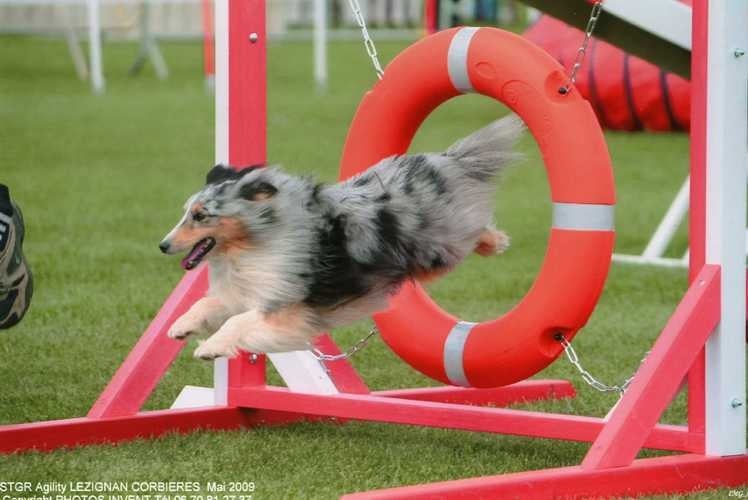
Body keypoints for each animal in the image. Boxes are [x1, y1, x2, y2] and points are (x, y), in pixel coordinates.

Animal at [159, 115, 523, 360]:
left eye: (200, 216)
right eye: (186, 213)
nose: (162, 245)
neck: (253, 243)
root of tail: (443, 161)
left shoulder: (287, 306)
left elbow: (239, 321)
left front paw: (210, 348)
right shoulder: (249, 289)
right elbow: (210, 303)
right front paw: (181, 326)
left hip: (438, 249)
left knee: (474, 228)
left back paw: (496, 242)